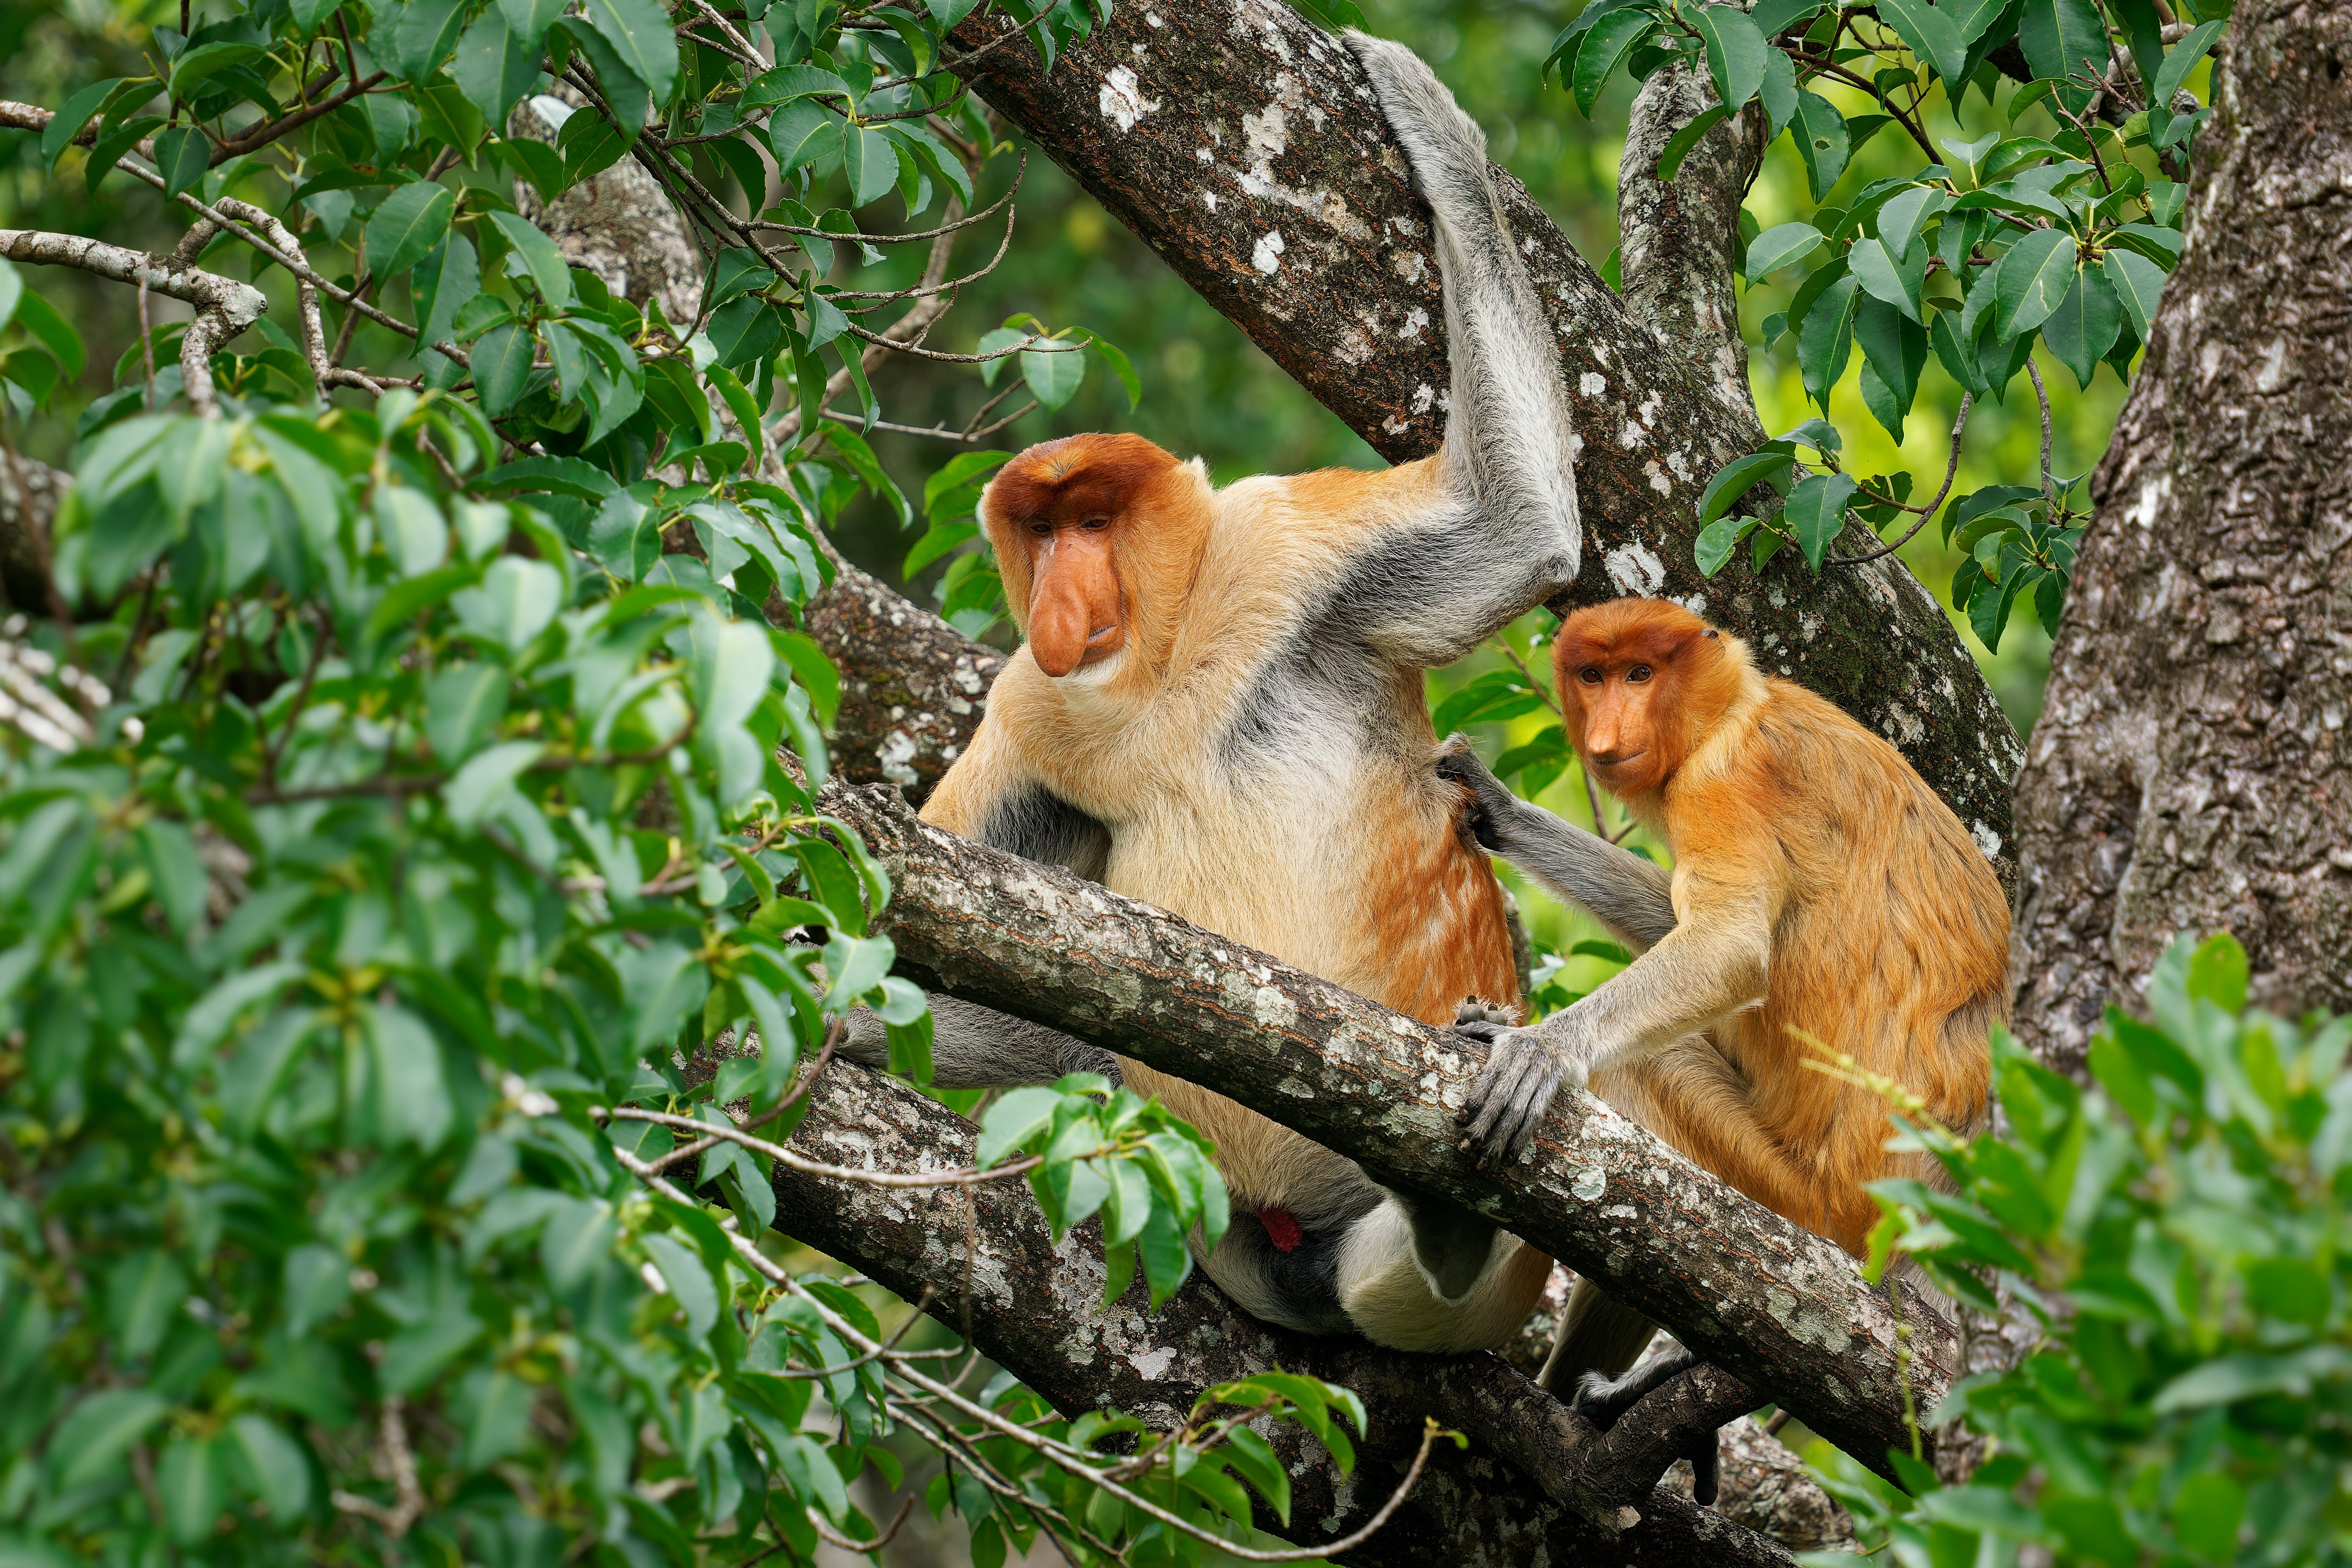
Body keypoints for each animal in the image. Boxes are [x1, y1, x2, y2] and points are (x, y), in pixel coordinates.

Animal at [834, 33, 1684, 1357]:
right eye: (1041, 529)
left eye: (1096, 520)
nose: (1066, 593)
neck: (1165, 667)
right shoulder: (1031, 711)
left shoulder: (1284, 546)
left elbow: (1518, 533)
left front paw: (1434, 126)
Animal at [1436, 596, 2009, 1421]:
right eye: (1593, 675)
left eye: (1640, 674)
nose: (1607, 732)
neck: (1738, 705)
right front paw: (1494, 803)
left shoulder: (1722, 781)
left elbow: (1727, 944)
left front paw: (1538, 1050)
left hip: (1803, 1201)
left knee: (1640, 1077)